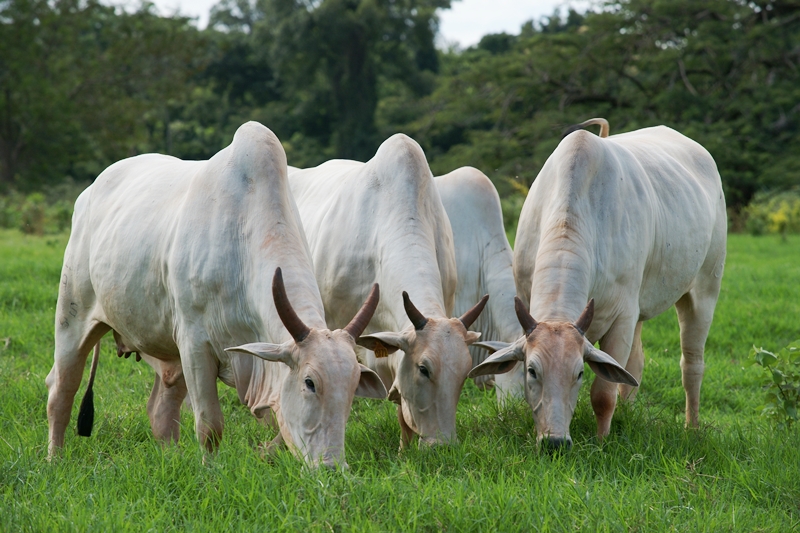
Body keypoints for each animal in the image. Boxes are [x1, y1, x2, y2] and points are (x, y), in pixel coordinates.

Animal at [45, 120, 386, 466]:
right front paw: (209, 470)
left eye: (353, 387)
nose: (332, 467)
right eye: (310, 382)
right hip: (73, 316)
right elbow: (210, 425)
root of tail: (90, 190)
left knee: (161, 410)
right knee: (61, 390)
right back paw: (54, 458)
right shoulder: (194, 344)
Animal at [468, 118, 724, 446]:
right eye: (532, 370)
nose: (554, 442)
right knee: (635, 364)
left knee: (691, 364)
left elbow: (603, 393)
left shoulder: (622, 317)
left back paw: (691, 428)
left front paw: (602, 441)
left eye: (579, 373)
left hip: (704, 290)